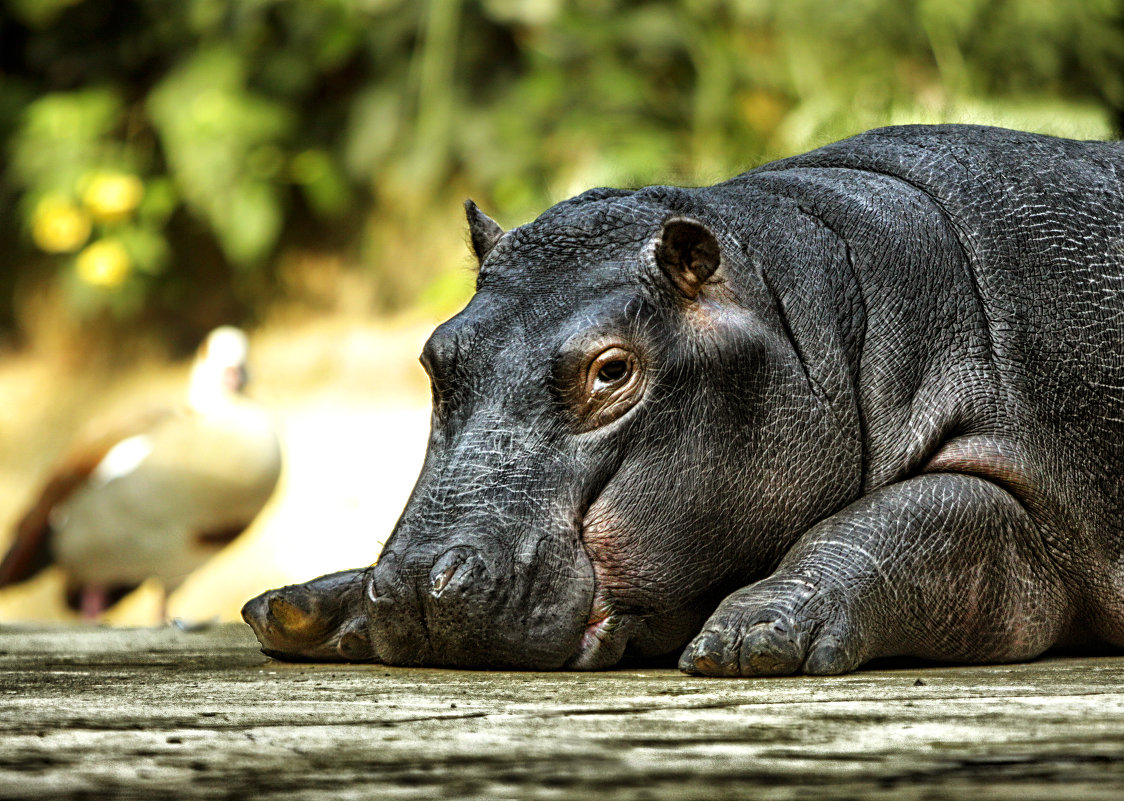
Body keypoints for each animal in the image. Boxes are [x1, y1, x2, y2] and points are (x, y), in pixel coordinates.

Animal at [243, 124, 1124, 674]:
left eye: (611, 370)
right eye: (435, 355)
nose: (418, 580)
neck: (821, 305)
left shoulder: (1031, 485)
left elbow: (902, 520)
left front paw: (746, 636)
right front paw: (296, 607)